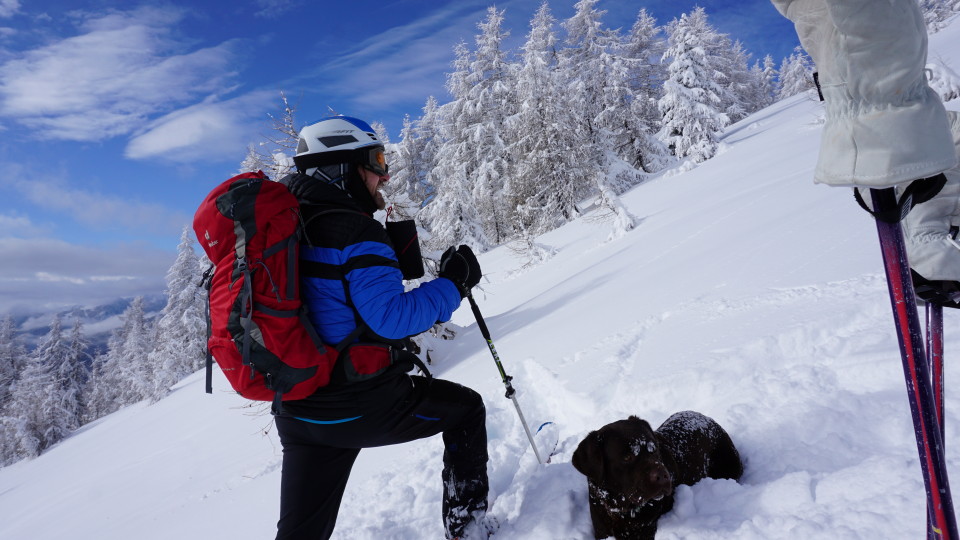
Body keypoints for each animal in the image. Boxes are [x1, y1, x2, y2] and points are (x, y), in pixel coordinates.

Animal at [568, 412, 744, 536]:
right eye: (627, 457)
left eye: (653, 450)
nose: (663, 476)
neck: (621, 509)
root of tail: (708, 418)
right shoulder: (601, 527)